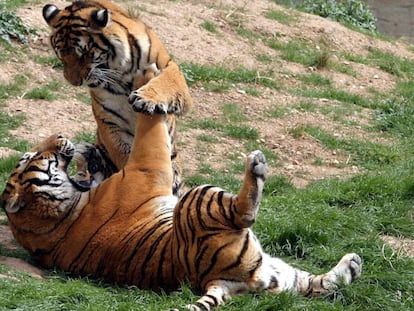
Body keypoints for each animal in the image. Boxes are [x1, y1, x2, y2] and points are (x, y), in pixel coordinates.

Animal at [0, 103, 362, 311]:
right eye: (33, 156)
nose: (60, 135)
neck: (58, 216)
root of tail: (218, 280)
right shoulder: (147, 168)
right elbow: (152, 132)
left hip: (280, 274)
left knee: (317, 286)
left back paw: (352, 265)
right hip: (199, 198)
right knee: (243, 212)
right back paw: (256, 166)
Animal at [41, 0, 193, 196]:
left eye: (84, 53)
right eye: (60, 54)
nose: (73, 82)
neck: (122, 72)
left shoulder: (169, 67)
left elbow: (165, 82)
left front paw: (146, 99)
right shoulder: (109, 122)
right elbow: (125, 154)